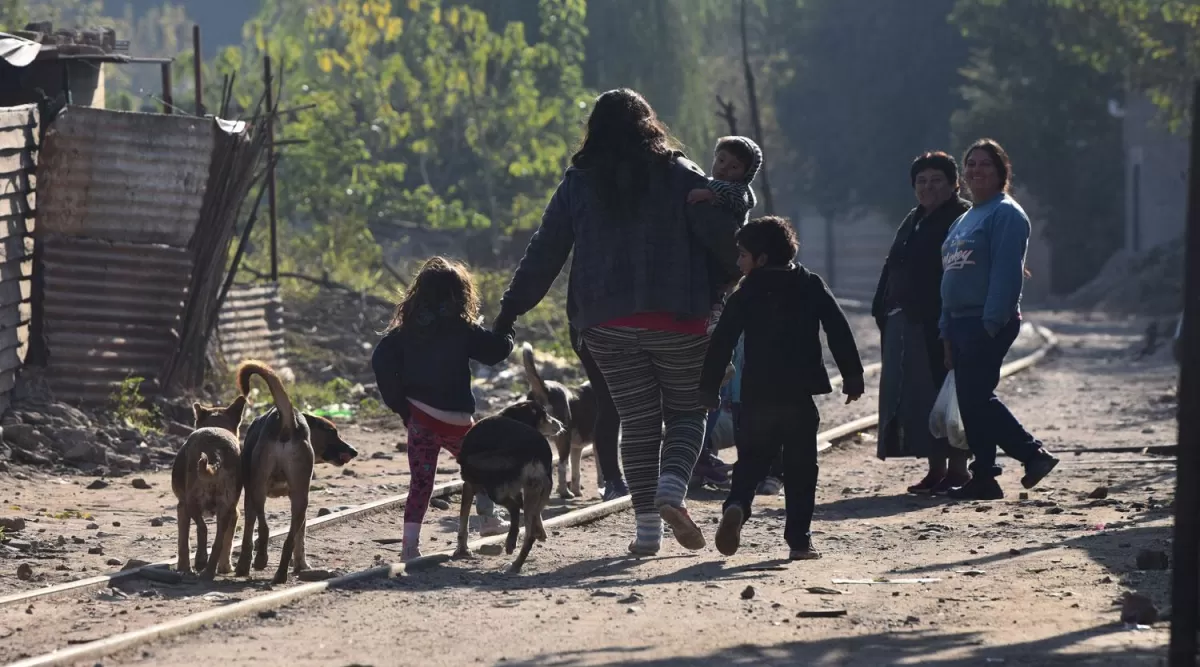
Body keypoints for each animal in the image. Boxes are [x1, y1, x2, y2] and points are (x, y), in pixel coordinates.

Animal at [172, 398, 247, 580]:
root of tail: (216, 450)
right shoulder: (234, 512)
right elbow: (227, 541)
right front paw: (224, 567)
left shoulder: (182, 507)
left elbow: (183, 542)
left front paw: (184, 567)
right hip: (225, 507)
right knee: (218, 541)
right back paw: (208, 571)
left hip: (192, 501)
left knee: (202, 528)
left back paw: (200, 561)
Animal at [231, 359, 355, 583]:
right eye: (332, 432)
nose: (354, 451)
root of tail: (289, 420)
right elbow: (300, 537)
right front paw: (301, 565)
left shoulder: (249, 495)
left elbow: (248, 532)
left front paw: (243, 566)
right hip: (300, 498)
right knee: (289, 540)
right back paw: (280, 574)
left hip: (258, 489)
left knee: (264, 528)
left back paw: (261, 560)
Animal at [451, 400, 564, 573]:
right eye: (544, 415)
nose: (561, 424)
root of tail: (535, 450)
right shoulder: (523, 489)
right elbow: (534, 514)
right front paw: (541, 531)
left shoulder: (468, 483)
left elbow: (464, 519)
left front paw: (462, 549)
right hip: (536, 486)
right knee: (528, 527)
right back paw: (517, 561)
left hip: (489, 482)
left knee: (515, 509)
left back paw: (512, 553)